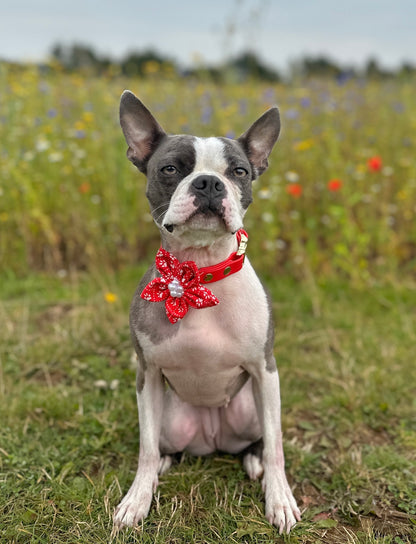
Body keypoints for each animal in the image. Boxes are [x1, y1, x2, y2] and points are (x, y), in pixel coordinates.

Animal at [114, 91, 300, 532]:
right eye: (169, 169)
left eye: (239, 171)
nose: (210, 182)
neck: (198, 275)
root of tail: (211, 438)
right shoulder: (147, 374)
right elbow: (145, 449)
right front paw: (137, 499)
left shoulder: (266, 370)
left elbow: (277, 446)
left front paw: (280, 499)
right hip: (169, 415)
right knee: (162, 446)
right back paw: (165, 464)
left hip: (251, 406)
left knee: (259, 441)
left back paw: (253, 462)